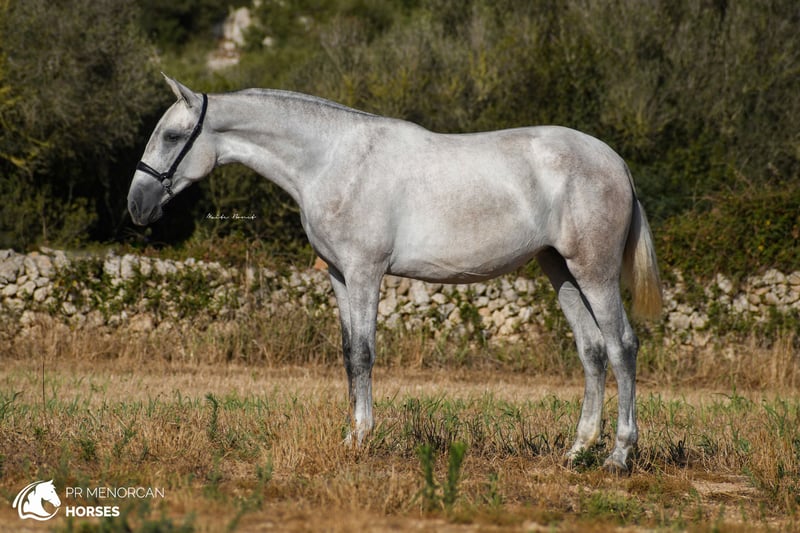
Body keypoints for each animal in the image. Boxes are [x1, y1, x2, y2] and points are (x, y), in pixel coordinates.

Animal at [128, 75, 662, 473]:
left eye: (171, 137)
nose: (137, 205)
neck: (333, 161)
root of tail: (616, 162)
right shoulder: (339, 276)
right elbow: (348, 355)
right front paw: (351, 436)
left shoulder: (366, 272)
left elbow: (364, 354)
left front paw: (363, 438)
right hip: (561, 271)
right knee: (592, 351)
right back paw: (577, 450)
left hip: (594, 272)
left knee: (622, 346)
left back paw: (619, 455)